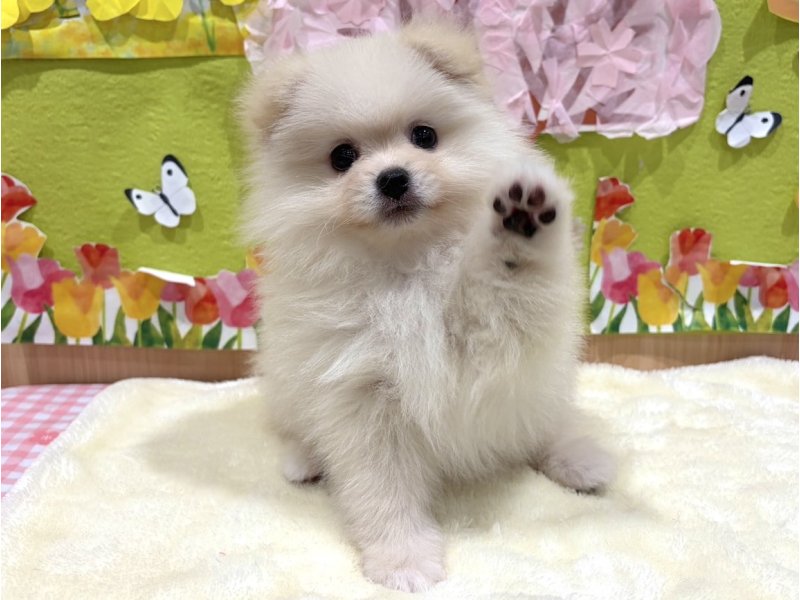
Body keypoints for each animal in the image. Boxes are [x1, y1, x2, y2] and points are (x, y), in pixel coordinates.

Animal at [239, 19, 615, 593]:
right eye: (342, 157)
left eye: (424, 136)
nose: (393, 177)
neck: (407, 268)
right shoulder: (363, 397)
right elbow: (382, 491)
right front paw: (403, 561)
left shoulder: (494, 336)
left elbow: (509, 288)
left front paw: (519, 225)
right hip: (287, 383)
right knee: (296, 425)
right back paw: (305, 459)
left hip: (540, 389)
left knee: (543, 426)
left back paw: (579, 458)